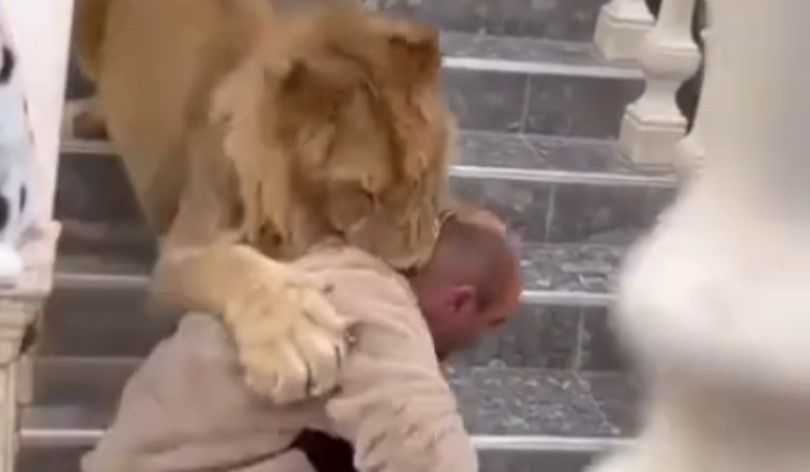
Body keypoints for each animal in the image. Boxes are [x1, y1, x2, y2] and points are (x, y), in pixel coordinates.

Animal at [75, 0, 456, 403]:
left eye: (420, 178)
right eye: (361, 193)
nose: (413, 268)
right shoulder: (182, 247)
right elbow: (230, 263)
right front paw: (296, 337)